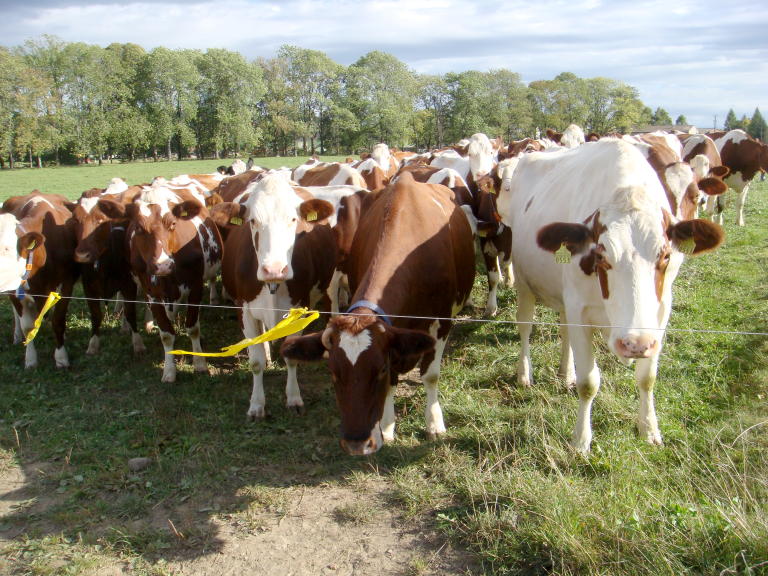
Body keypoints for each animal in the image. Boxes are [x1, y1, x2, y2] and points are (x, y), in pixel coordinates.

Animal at [97, 187, 223, 382]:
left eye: (173, 224)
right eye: (138, 227)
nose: (162, 265)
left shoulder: (195, 287)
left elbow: (193, 327)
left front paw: (200, 364)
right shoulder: (152, 293)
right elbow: (166, 334)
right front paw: (169, 370)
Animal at [219, 173, 336, 419]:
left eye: (293, 219)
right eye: (253, 221)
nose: (273, 269)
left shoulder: (300, 308)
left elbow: (291, 356)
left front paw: (293, 398)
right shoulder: (244, 310)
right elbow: (255, 362)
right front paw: (256, 405)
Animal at [281, 172, 476, 455]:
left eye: (379, 369)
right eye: (333, 372)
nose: (356, 442)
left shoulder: (442, 323)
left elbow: (430, 375)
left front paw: (434, 422)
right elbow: (393, 384)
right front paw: (387, 425)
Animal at [496, 139, 723, 453]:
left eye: (665, 255)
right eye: (602, 256)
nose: (635, 344)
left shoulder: (660, 312)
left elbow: (647, 378)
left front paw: (649, 428)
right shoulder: (580, 310)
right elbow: (589, 382)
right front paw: (581, 441)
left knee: (564, 331)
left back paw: (565, 373)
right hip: (525, 283)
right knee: (526, 327)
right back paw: (524, 374)